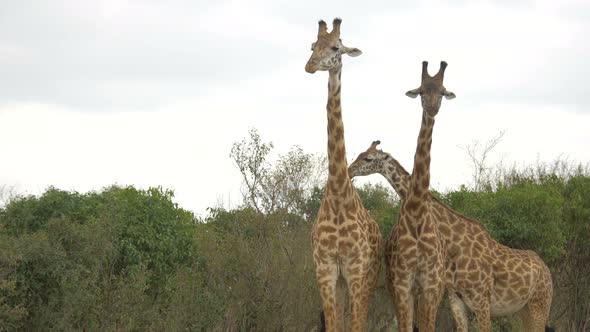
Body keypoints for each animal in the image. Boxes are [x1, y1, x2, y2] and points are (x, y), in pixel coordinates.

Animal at [352, 139, 556, 330]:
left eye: (368, 158)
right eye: (361, 153)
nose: (350, 169)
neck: (454, 243)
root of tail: (546, 269)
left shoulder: (482, 301)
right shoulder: (456, 301)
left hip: (540, 305)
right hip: (525, 309)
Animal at [390, 60, 460, 332]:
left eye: (442, 92)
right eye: (420, 91)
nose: (431, 108)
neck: (418, 211)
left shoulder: (431, 284)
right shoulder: (402, 282)